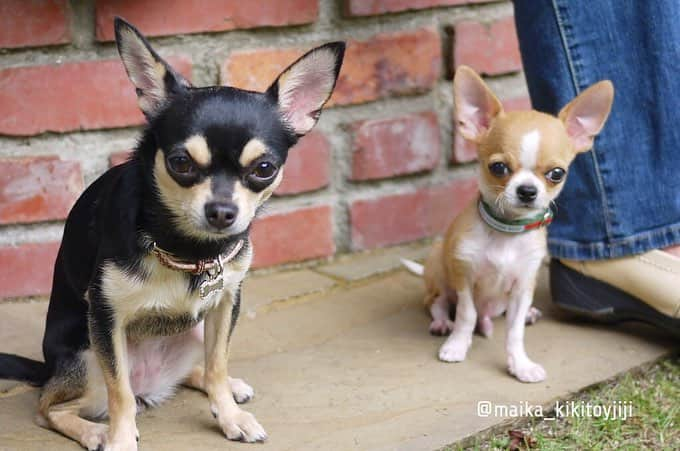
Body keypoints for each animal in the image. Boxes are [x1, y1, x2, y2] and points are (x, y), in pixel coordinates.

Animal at [402, 66, 612, 382]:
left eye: (557, 174)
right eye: (498, 167)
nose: (527, 191)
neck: (506, 232)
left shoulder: (523, 286)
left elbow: (514, 332)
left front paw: (520, 364)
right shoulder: (464, 278)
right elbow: (466, 315)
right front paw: (457, 346)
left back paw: (528, 315)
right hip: (438, 266)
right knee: (436, 303)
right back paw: (442, 324)